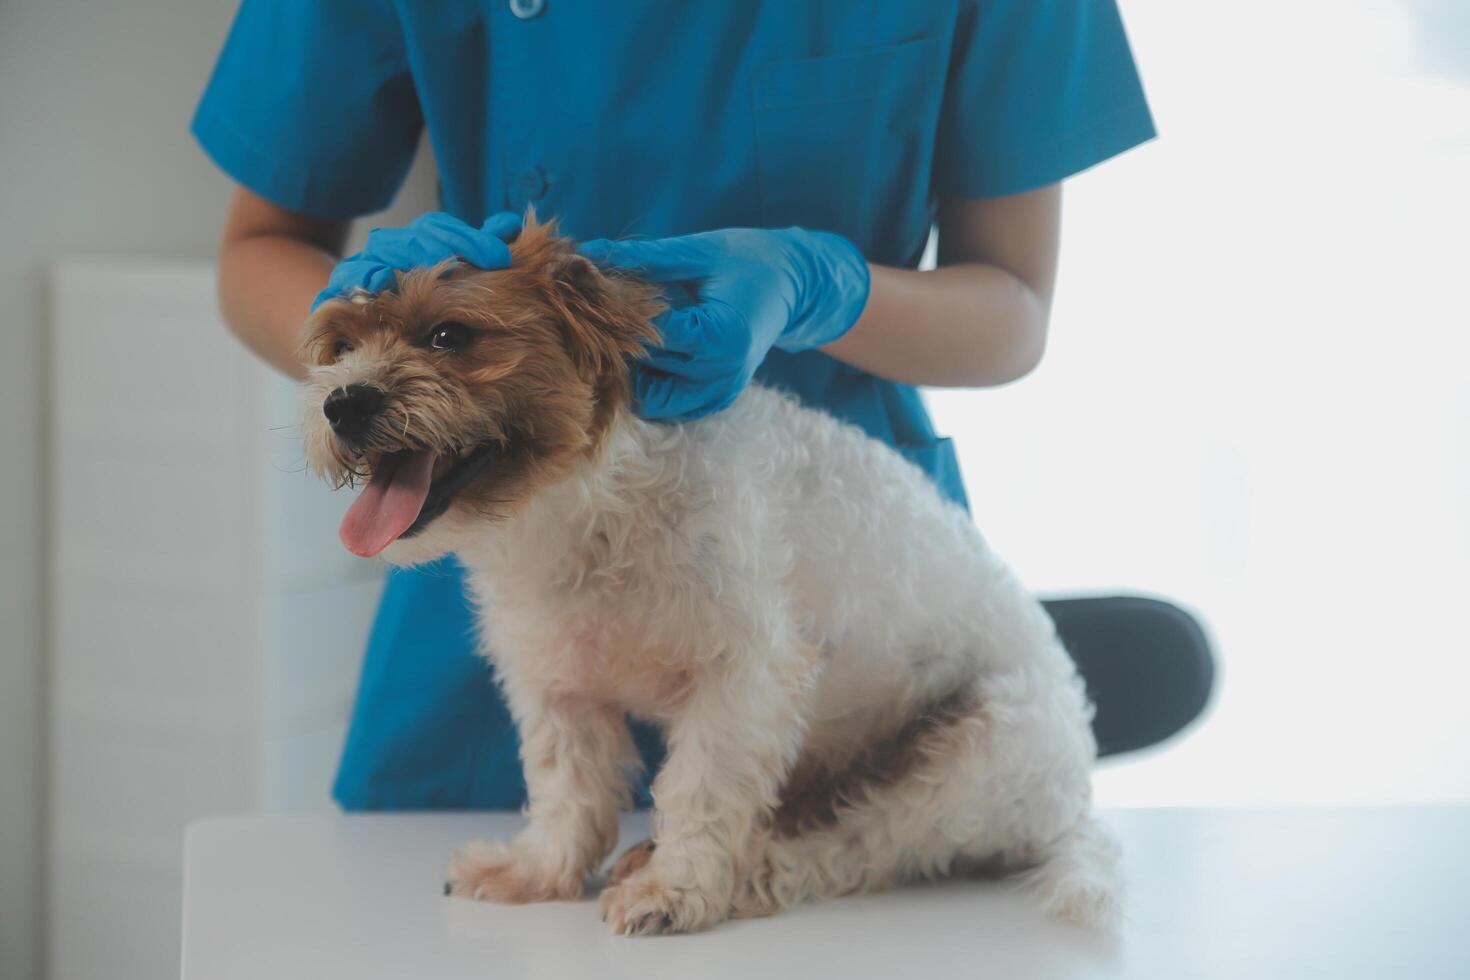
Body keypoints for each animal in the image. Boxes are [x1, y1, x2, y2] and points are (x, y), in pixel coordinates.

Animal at [304, 214, 1117, 934]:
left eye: (448, 335)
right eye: (340, 346)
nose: (343, 402)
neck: (585, 509)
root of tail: (1073, 799)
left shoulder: (747, 677)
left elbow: (700, 788)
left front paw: (678, 889)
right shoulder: (555, 681)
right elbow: (567, 788)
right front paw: (539, 872)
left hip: (971, 753)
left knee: (855, 848)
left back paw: (753, 872)